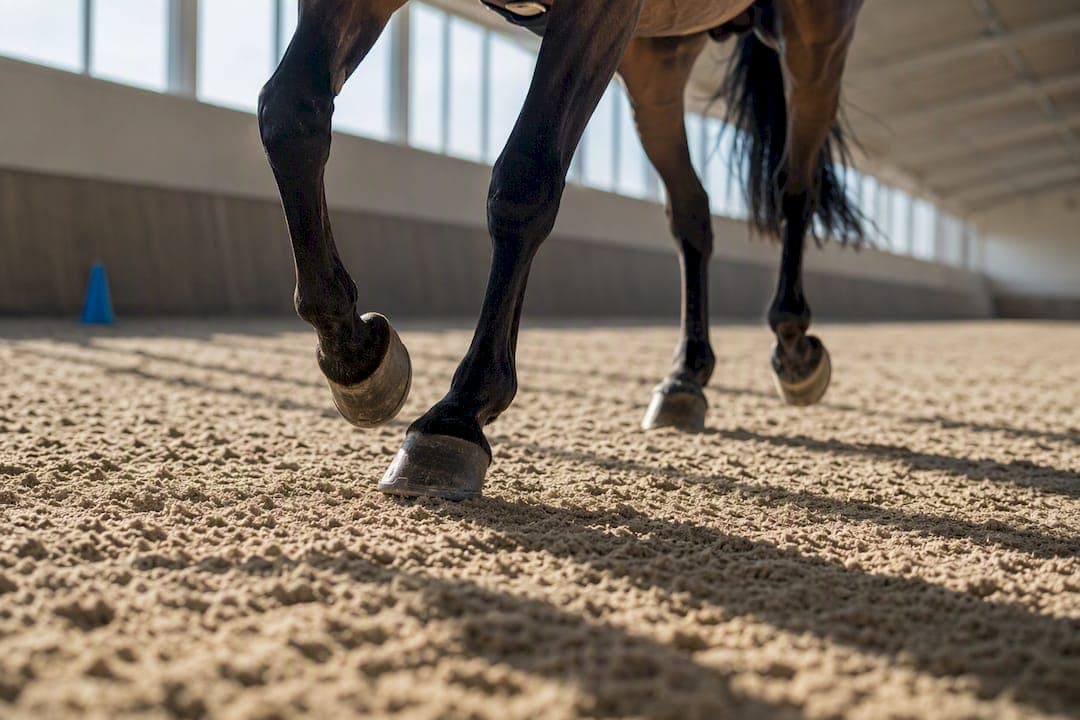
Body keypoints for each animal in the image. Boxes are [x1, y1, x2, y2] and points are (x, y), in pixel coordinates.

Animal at [258, 0, 865, 500]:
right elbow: (291, 113)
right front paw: (355, 353)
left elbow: (525, 180)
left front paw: (459, 412)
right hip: (658, 60)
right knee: (692, 211)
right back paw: (685, 377)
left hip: (816, 33)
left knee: (795, 186)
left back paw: (794, 348)